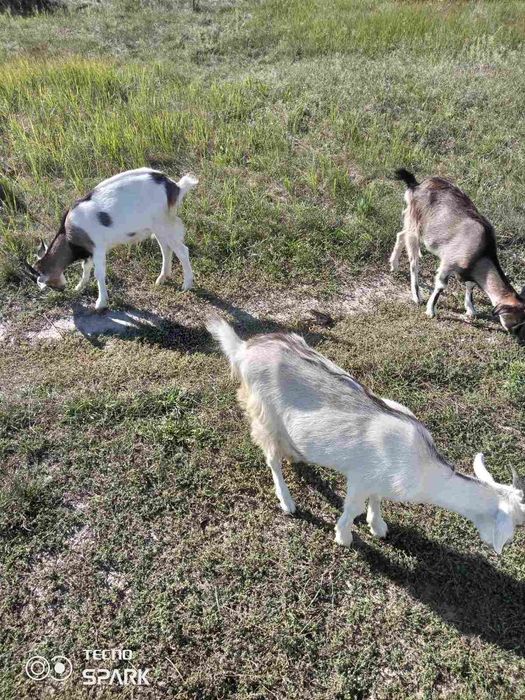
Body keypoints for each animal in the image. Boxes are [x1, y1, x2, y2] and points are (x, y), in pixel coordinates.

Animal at [27, 168, 198, 310]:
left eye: (48, 283)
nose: (61, 289)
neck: (70, 235)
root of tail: (174, 187)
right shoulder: (90, 250)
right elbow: (85, 267)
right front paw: (79, 287)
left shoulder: (97, 247)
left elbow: (98, 273)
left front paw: (100, 303)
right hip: (158, 227)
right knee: (165, 248)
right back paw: (162, 278)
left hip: (163, 224)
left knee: (182, 251)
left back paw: (186, 285)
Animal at [207, 317, 525, 554]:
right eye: (518, 524)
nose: (504, 550)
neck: (423, 467)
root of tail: (243, 349)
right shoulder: (359, 478)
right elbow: (353, 507)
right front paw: (344, 537)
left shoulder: (377, 477)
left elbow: (376, 499)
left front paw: (378, 526)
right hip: (263, 414)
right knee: (271, 459)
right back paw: (287, 502)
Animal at [389, 169, 525, 332]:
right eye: (519, 322)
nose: (515, 334)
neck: (481, 250)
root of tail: (416, 185)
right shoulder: (448, 263)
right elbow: (441, 286)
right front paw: (431, 311)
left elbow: (470, 285)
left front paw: (471, 310)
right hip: (415, 228)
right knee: (414, 262)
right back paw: (417, 296)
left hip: (411, 225)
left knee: (400, 235)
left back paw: (394, 265)